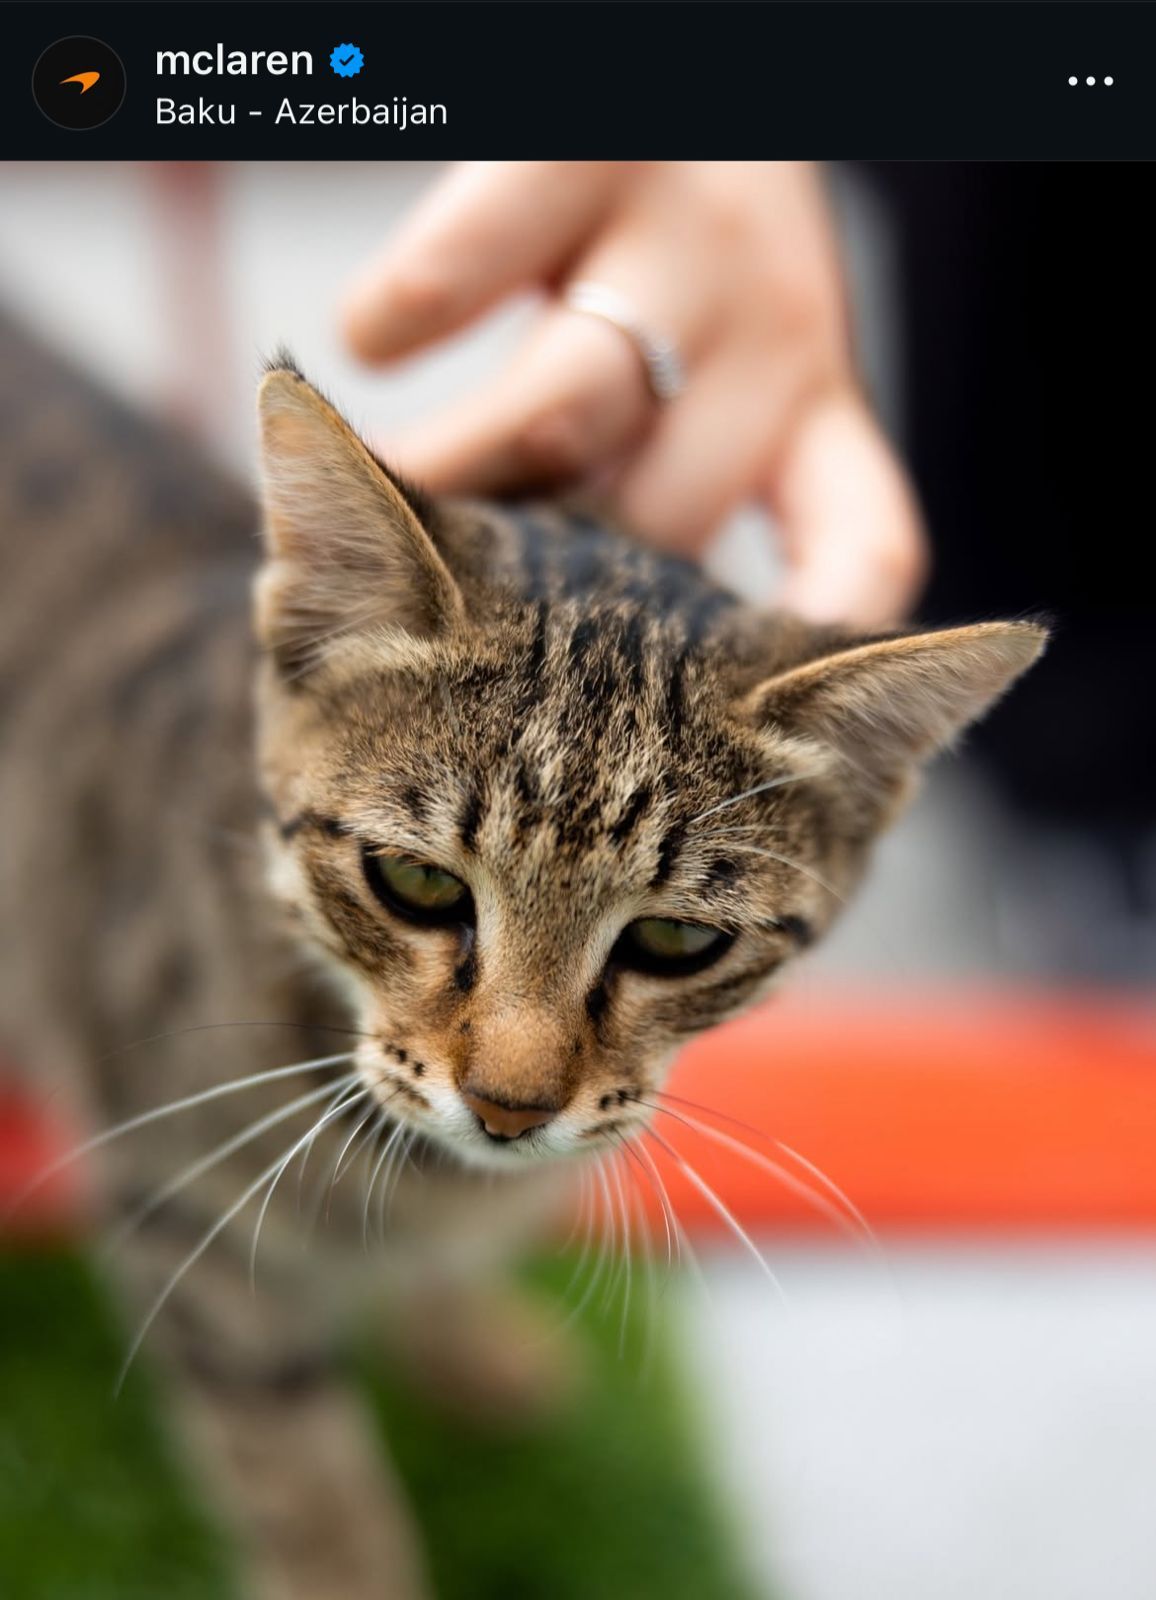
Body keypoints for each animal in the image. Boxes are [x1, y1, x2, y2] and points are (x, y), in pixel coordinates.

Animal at [0, 316, 1046, 1599]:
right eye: (417, 883)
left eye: (675, 937)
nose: (509, 1106)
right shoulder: (179, 1212)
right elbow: (308, 1487)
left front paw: (458, 1337)